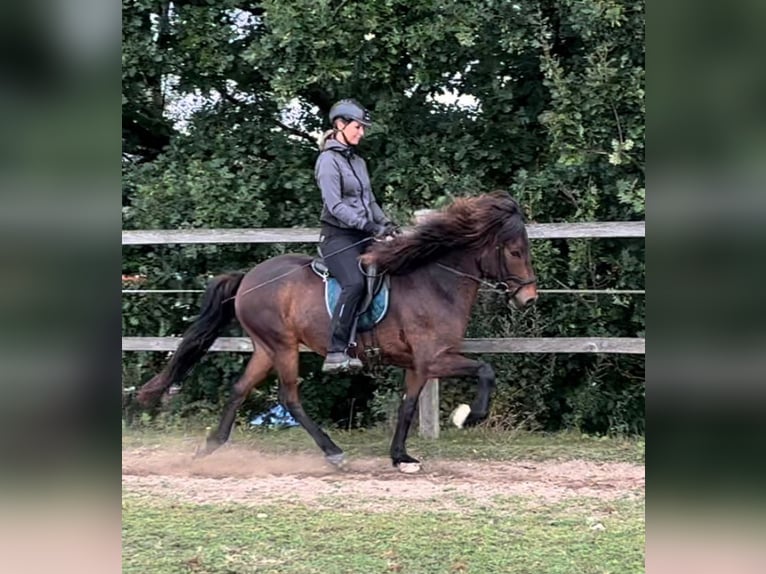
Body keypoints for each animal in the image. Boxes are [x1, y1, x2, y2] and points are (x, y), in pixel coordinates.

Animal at [136, 192, 540, 472]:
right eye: (514, 251)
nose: (530, 298)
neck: (434, 282)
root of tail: (248, 277)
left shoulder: (417, 366)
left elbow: (408, 407)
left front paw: (401, 457)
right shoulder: (434, 360)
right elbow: (486, 370)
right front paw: (468, 416)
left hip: (266, 348)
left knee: (239, 389)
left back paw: (210, 446)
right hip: (283, 347)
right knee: (289, 398)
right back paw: (333, 452)